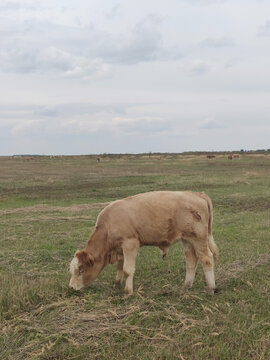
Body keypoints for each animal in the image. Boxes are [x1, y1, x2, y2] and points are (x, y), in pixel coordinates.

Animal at [68, 190, 218, 296]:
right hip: (187, 239)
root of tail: (196, 194)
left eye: (81, 270)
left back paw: (211, 288)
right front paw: (117, 284)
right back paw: (186, 286)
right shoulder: (120, 248)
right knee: (191, 260)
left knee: (207, 259)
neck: (108, 226)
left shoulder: (130, 243)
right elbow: (120, 266)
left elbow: (127, 269)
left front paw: (128, 292)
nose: (71, 287)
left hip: (199, 238)